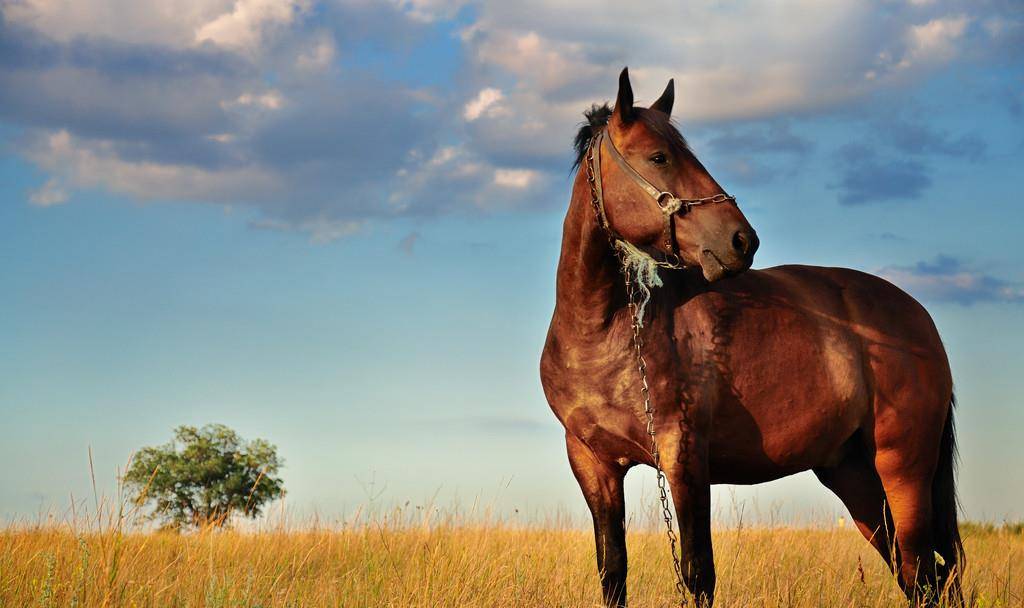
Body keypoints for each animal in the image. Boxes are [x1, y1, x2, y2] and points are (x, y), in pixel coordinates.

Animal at [540, 68, 962, 601]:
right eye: (658, 157)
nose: (743, 240)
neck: (604, 332)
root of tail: (919, 318)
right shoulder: (592, 464)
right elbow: (612, 572)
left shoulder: (684, 457)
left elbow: (698, 573)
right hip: (853, 476)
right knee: (917, 576)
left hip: (903, 469)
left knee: (924, 574)